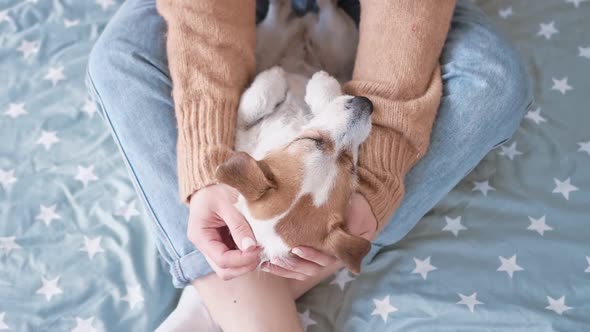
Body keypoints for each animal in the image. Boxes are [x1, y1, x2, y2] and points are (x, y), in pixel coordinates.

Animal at [217, 0, 374, 274]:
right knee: (285, 15)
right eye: (311, 141)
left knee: (323, 8)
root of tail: (302, 30)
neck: (295, 126)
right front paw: (279, 78)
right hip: (274, 41)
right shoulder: (242, 129)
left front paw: (313, 83)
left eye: (352, 168)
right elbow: (253, 105)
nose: (366, 104)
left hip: (336, 39)